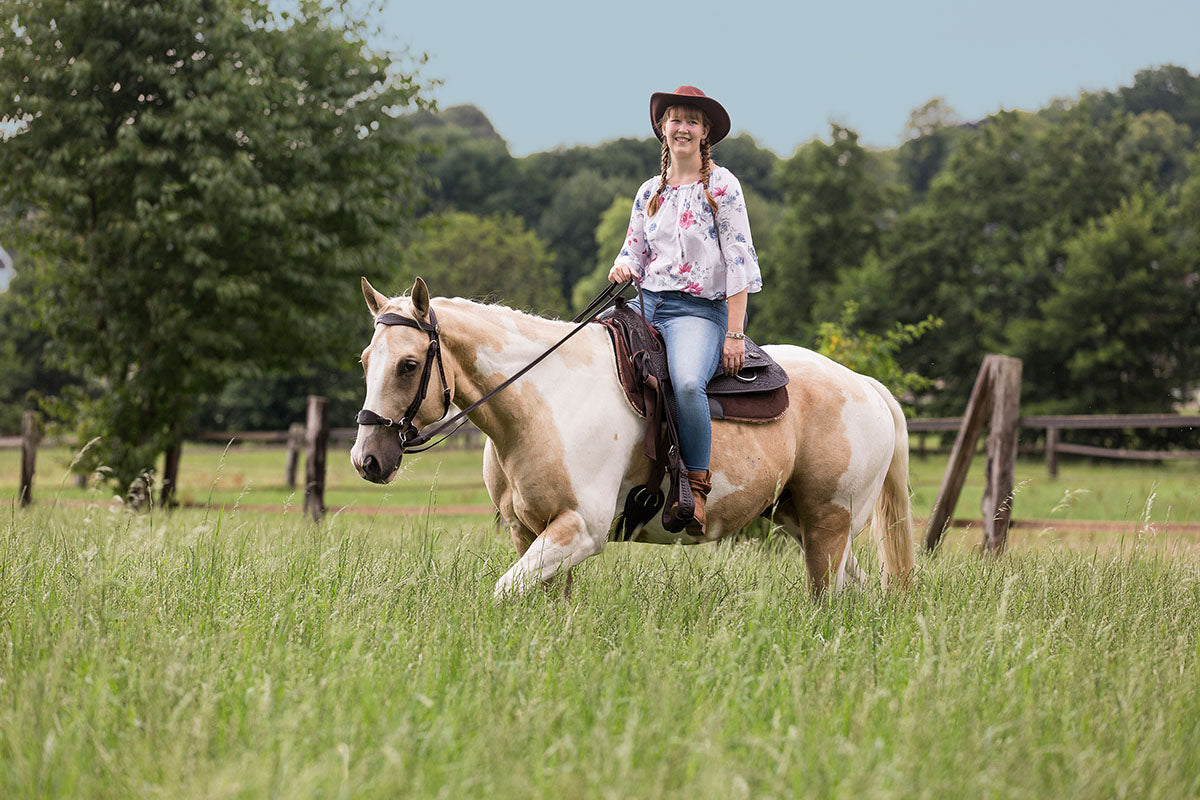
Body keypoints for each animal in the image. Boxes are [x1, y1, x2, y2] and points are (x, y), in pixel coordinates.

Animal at [350, 278, 912, 597]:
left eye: (408, 364)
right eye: (365, 359)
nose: (366, 460)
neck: (544, 398)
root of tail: (865, 385)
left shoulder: (580, 529)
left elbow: (503, 592)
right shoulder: (529, 532)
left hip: (829, 527)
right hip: (805, 523)